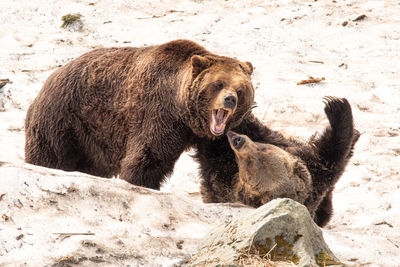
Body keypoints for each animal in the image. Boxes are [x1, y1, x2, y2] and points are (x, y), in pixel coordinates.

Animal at [25, 40, 255, 191]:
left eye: (240, 89)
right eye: (218, 84)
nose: (230, 99)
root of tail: (49, 79)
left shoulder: (223, 131)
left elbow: (231, 155)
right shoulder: (159, 113)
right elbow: (149, 155)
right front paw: (140, 182)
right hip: (65, 118)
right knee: (50, 153)